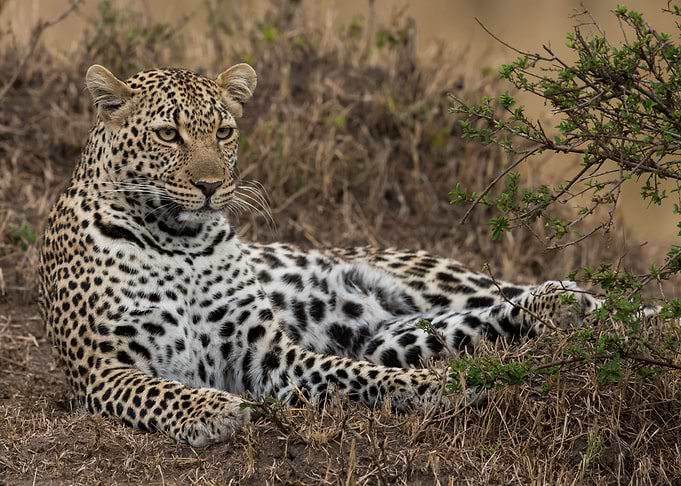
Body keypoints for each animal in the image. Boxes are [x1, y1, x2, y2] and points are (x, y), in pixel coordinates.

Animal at [38, 62, 601, 447]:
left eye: (223, 131)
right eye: (167, 134)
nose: (211, 185)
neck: (181, 242)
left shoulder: (268, 354)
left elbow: (356, 373)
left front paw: (441, 383)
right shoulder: (103, 369)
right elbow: (163, 390)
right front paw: (213, 409)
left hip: (435, 283)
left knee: (513, 297)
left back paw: (581, 304)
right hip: (395, 334)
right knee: (481, 320)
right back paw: (565, 307)